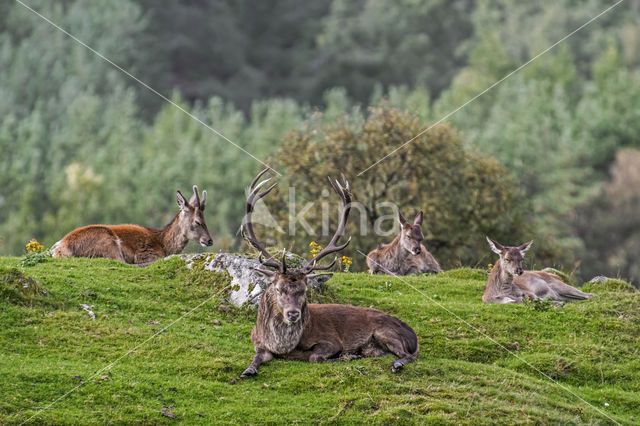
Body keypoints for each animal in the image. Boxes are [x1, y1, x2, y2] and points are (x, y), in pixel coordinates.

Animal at [52, 186, 212, 266]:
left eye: (205, 219)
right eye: (197, 222)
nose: (209, 240)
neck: (165, 245)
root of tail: (61, 249)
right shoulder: (148, 254)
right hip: (108, 242)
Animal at [240, 168, 420, 378]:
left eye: (304, 290)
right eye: (278, 289)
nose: (293, 314)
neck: (282, 347)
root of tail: (414, 336)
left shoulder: (331, 340)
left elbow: (315, 357)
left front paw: (346, 355)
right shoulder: (257, 341)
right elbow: (256, 357)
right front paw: (248, 370)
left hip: (385, 332)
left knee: (409, 355)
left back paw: (392, 363)